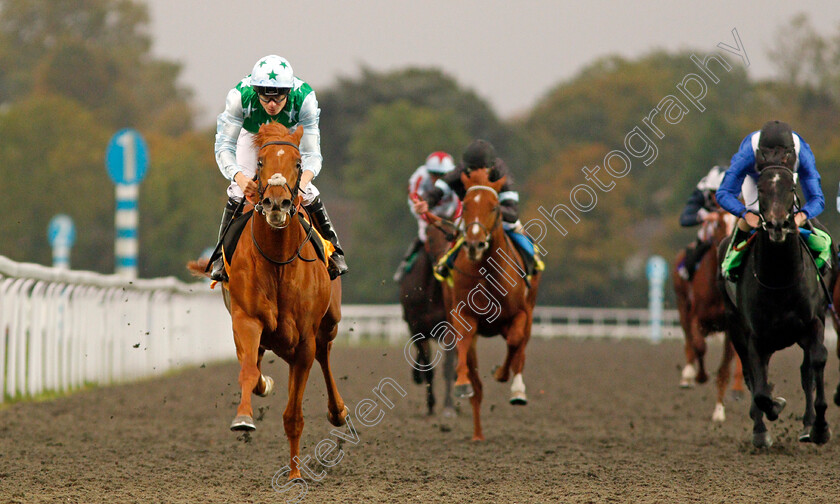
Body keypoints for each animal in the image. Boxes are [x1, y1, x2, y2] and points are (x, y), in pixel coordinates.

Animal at [190, 124, 348, 478]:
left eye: (298, 162)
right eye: (260, 162)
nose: (277, 203)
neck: (277, 261)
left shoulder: (304, 341)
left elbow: (293, 415)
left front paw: (295, 475)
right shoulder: (247, 320)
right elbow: (248, 372)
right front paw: (244, 416)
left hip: (329, 322)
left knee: (326, 354)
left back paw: (338, 411)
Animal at [436, 167, 540, 440]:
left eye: (494, 206)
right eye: (466, 204)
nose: (474, 244)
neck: (487, 271)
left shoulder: (520, 314)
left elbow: (515, 344)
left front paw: (503, 376)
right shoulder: (463, 314)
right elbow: (463, 346)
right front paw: (462, 384)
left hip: (529, 312)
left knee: (520, 349)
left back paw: (517, 389)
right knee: (477, 383)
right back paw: (478, 434)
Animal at [672, 209, 744, 422]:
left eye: (737, 222)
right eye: (719, 224)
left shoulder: (731, 327)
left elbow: (724, 368)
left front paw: (719, 410)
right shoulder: (697, 317)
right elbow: (699, 346)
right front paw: (700, 376)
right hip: (682, 304)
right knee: (689, 339)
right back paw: (688, 374)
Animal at [720, 166, 832, 448]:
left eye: (791, 188)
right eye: (760, 189)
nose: (777, 224)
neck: (780, 279)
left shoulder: (813, 323)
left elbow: (816, 362)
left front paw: (820, 428)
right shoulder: (754, 336)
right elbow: (760, 389)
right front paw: (772, 409)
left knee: (805, 372)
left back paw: (808, 424)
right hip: (737, 328)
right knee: (752, 375)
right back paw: (760, 427)